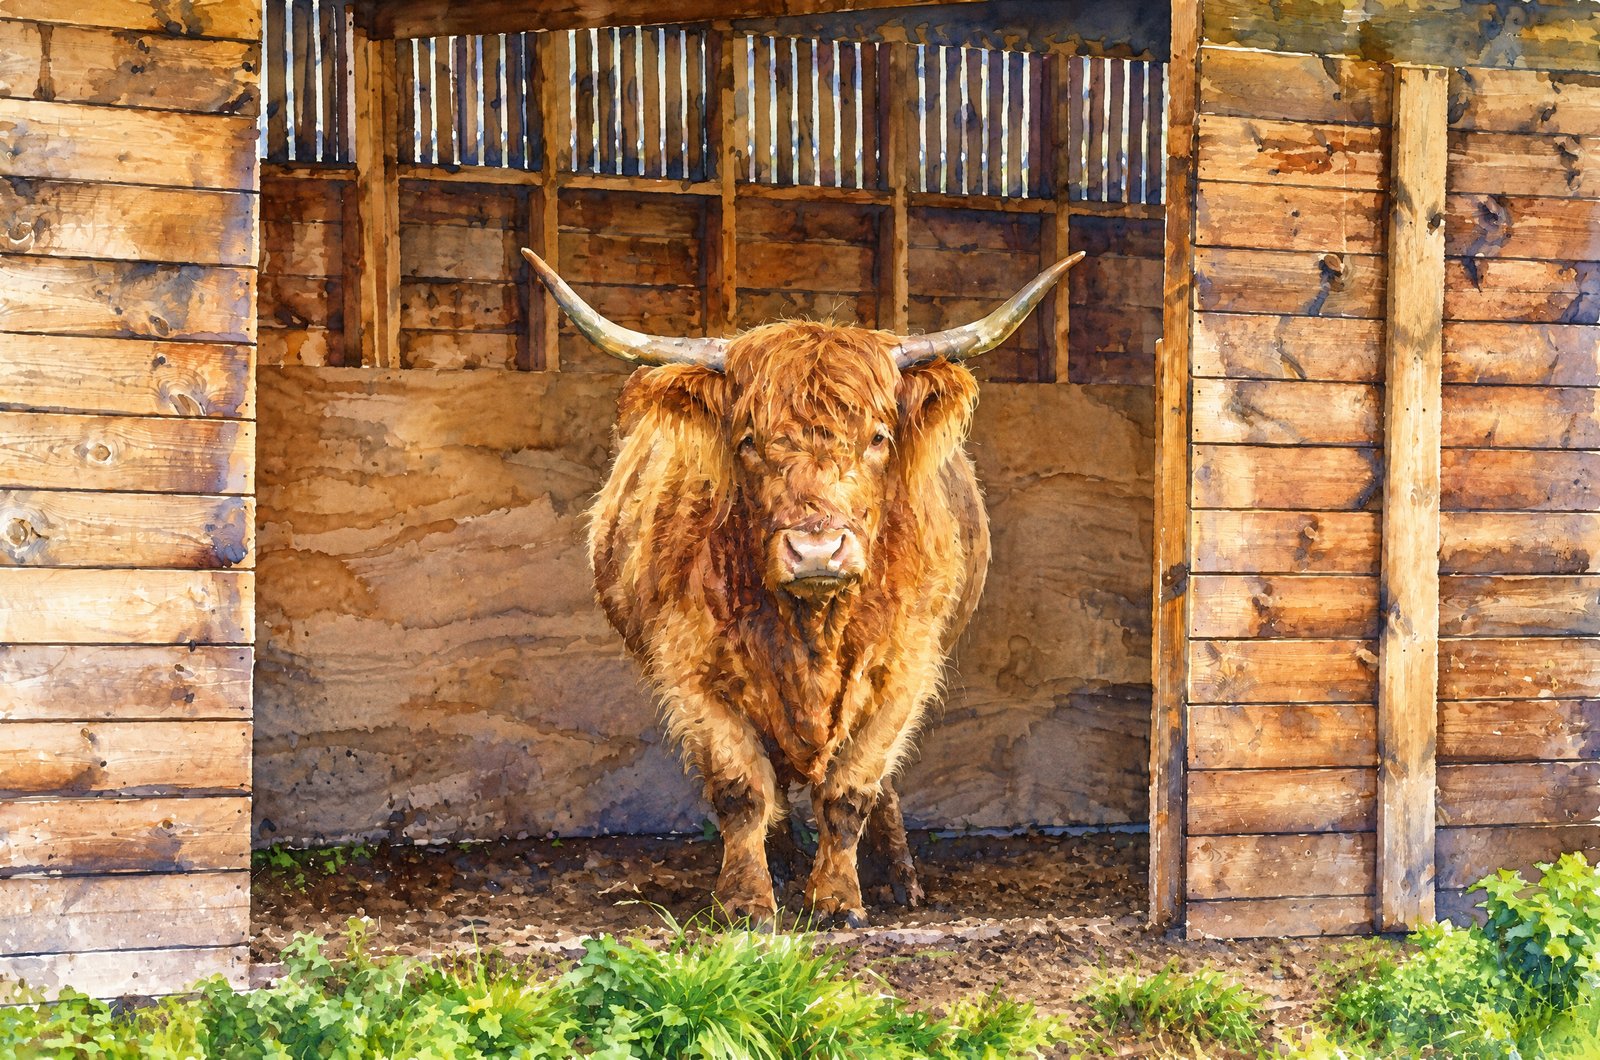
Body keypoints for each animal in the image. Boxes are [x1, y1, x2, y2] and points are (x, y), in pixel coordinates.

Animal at [522, 247, 1082, 927]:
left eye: (878, 436)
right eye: (748, 440)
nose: (817, 550)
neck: (811, 627)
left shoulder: (905, 670)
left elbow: (852, 790)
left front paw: (840, 899)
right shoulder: (693, 672)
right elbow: (741, 790)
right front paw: (746, 901)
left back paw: (899, 878)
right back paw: (785, 864)